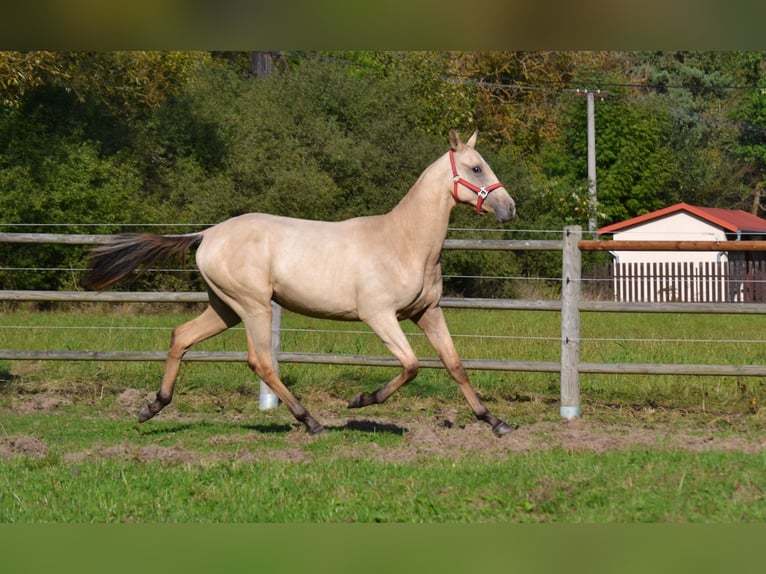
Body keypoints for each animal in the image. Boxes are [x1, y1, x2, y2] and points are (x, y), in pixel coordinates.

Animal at [84, 130, 520, 436]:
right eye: (476, 168)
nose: (509, 208)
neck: (404, 242)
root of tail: (206, 234)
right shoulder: (379, 315)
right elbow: (412, 365)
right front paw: (361, 401)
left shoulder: (427, 313)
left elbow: (455, 365)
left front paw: (495, 422)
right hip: (253, 306)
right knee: (260, 361)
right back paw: (311, 421)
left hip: (225, 308)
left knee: (181, 337)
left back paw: (152, 407)